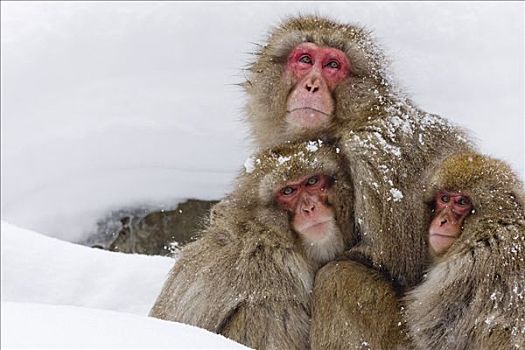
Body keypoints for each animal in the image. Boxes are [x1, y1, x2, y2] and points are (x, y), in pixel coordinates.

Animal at [244, 14, 472, 348]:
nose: (312, 85)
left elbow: (391, 260)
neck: (344, 124)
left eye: (332, 65)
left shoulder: (376, 157)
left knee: (339, 277)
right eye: (305, 60)